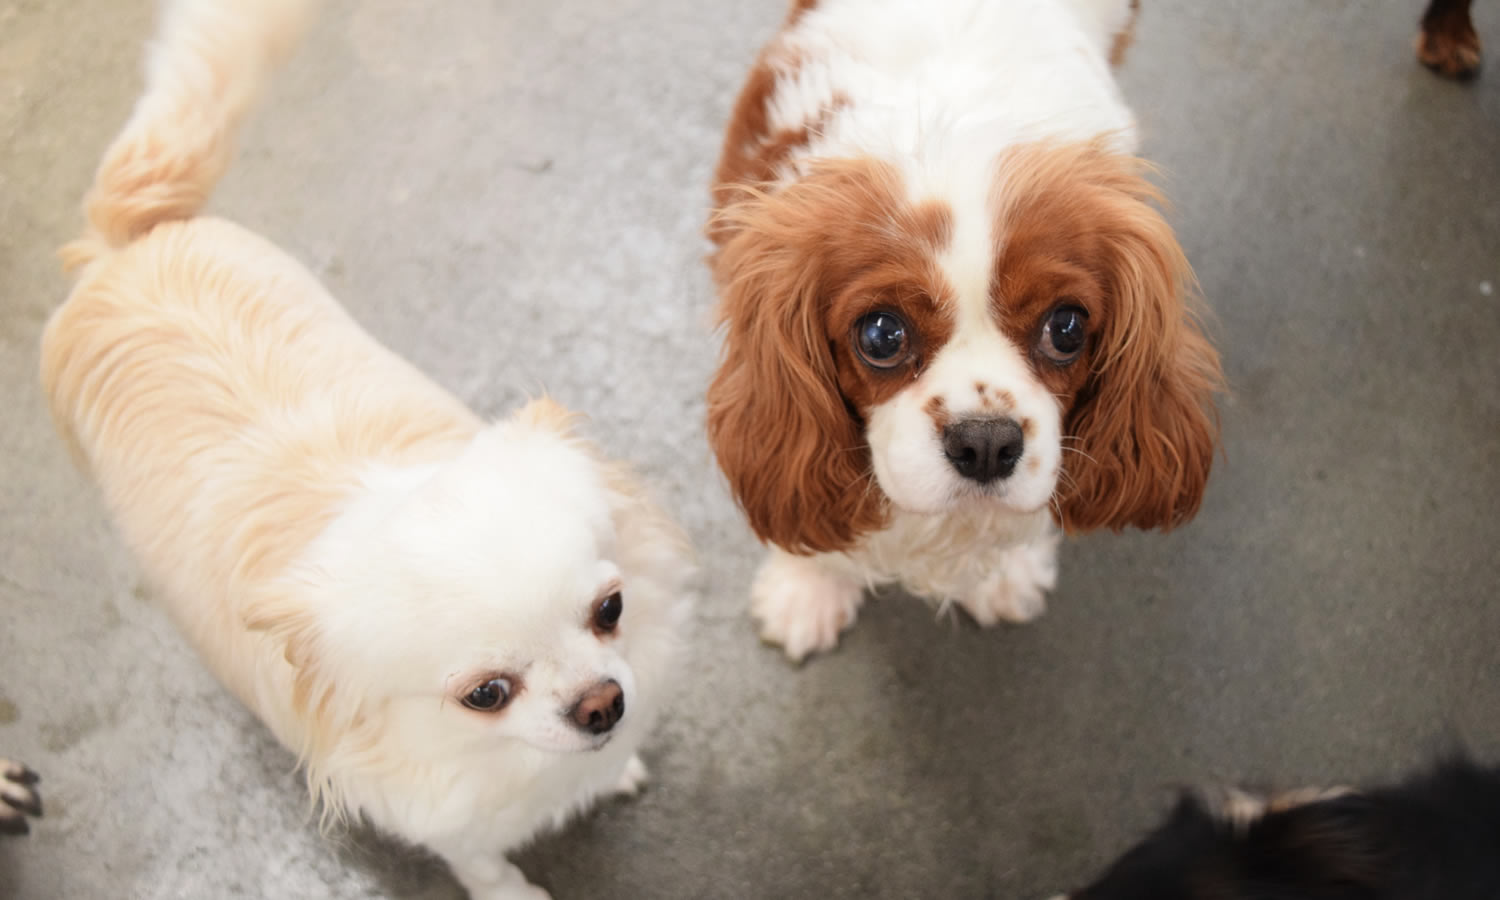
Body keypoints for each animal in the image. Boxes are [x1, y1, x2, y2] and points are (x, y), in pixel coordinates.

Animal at [41, 1, 693, 900]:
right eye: (487, 694)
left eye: (611, 611)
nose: (602, 703)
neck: (502, 759)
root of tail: (124, 244)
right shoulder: (439, 814)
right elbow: (478, 857)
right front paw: (512, 888)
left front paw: (614, 769)